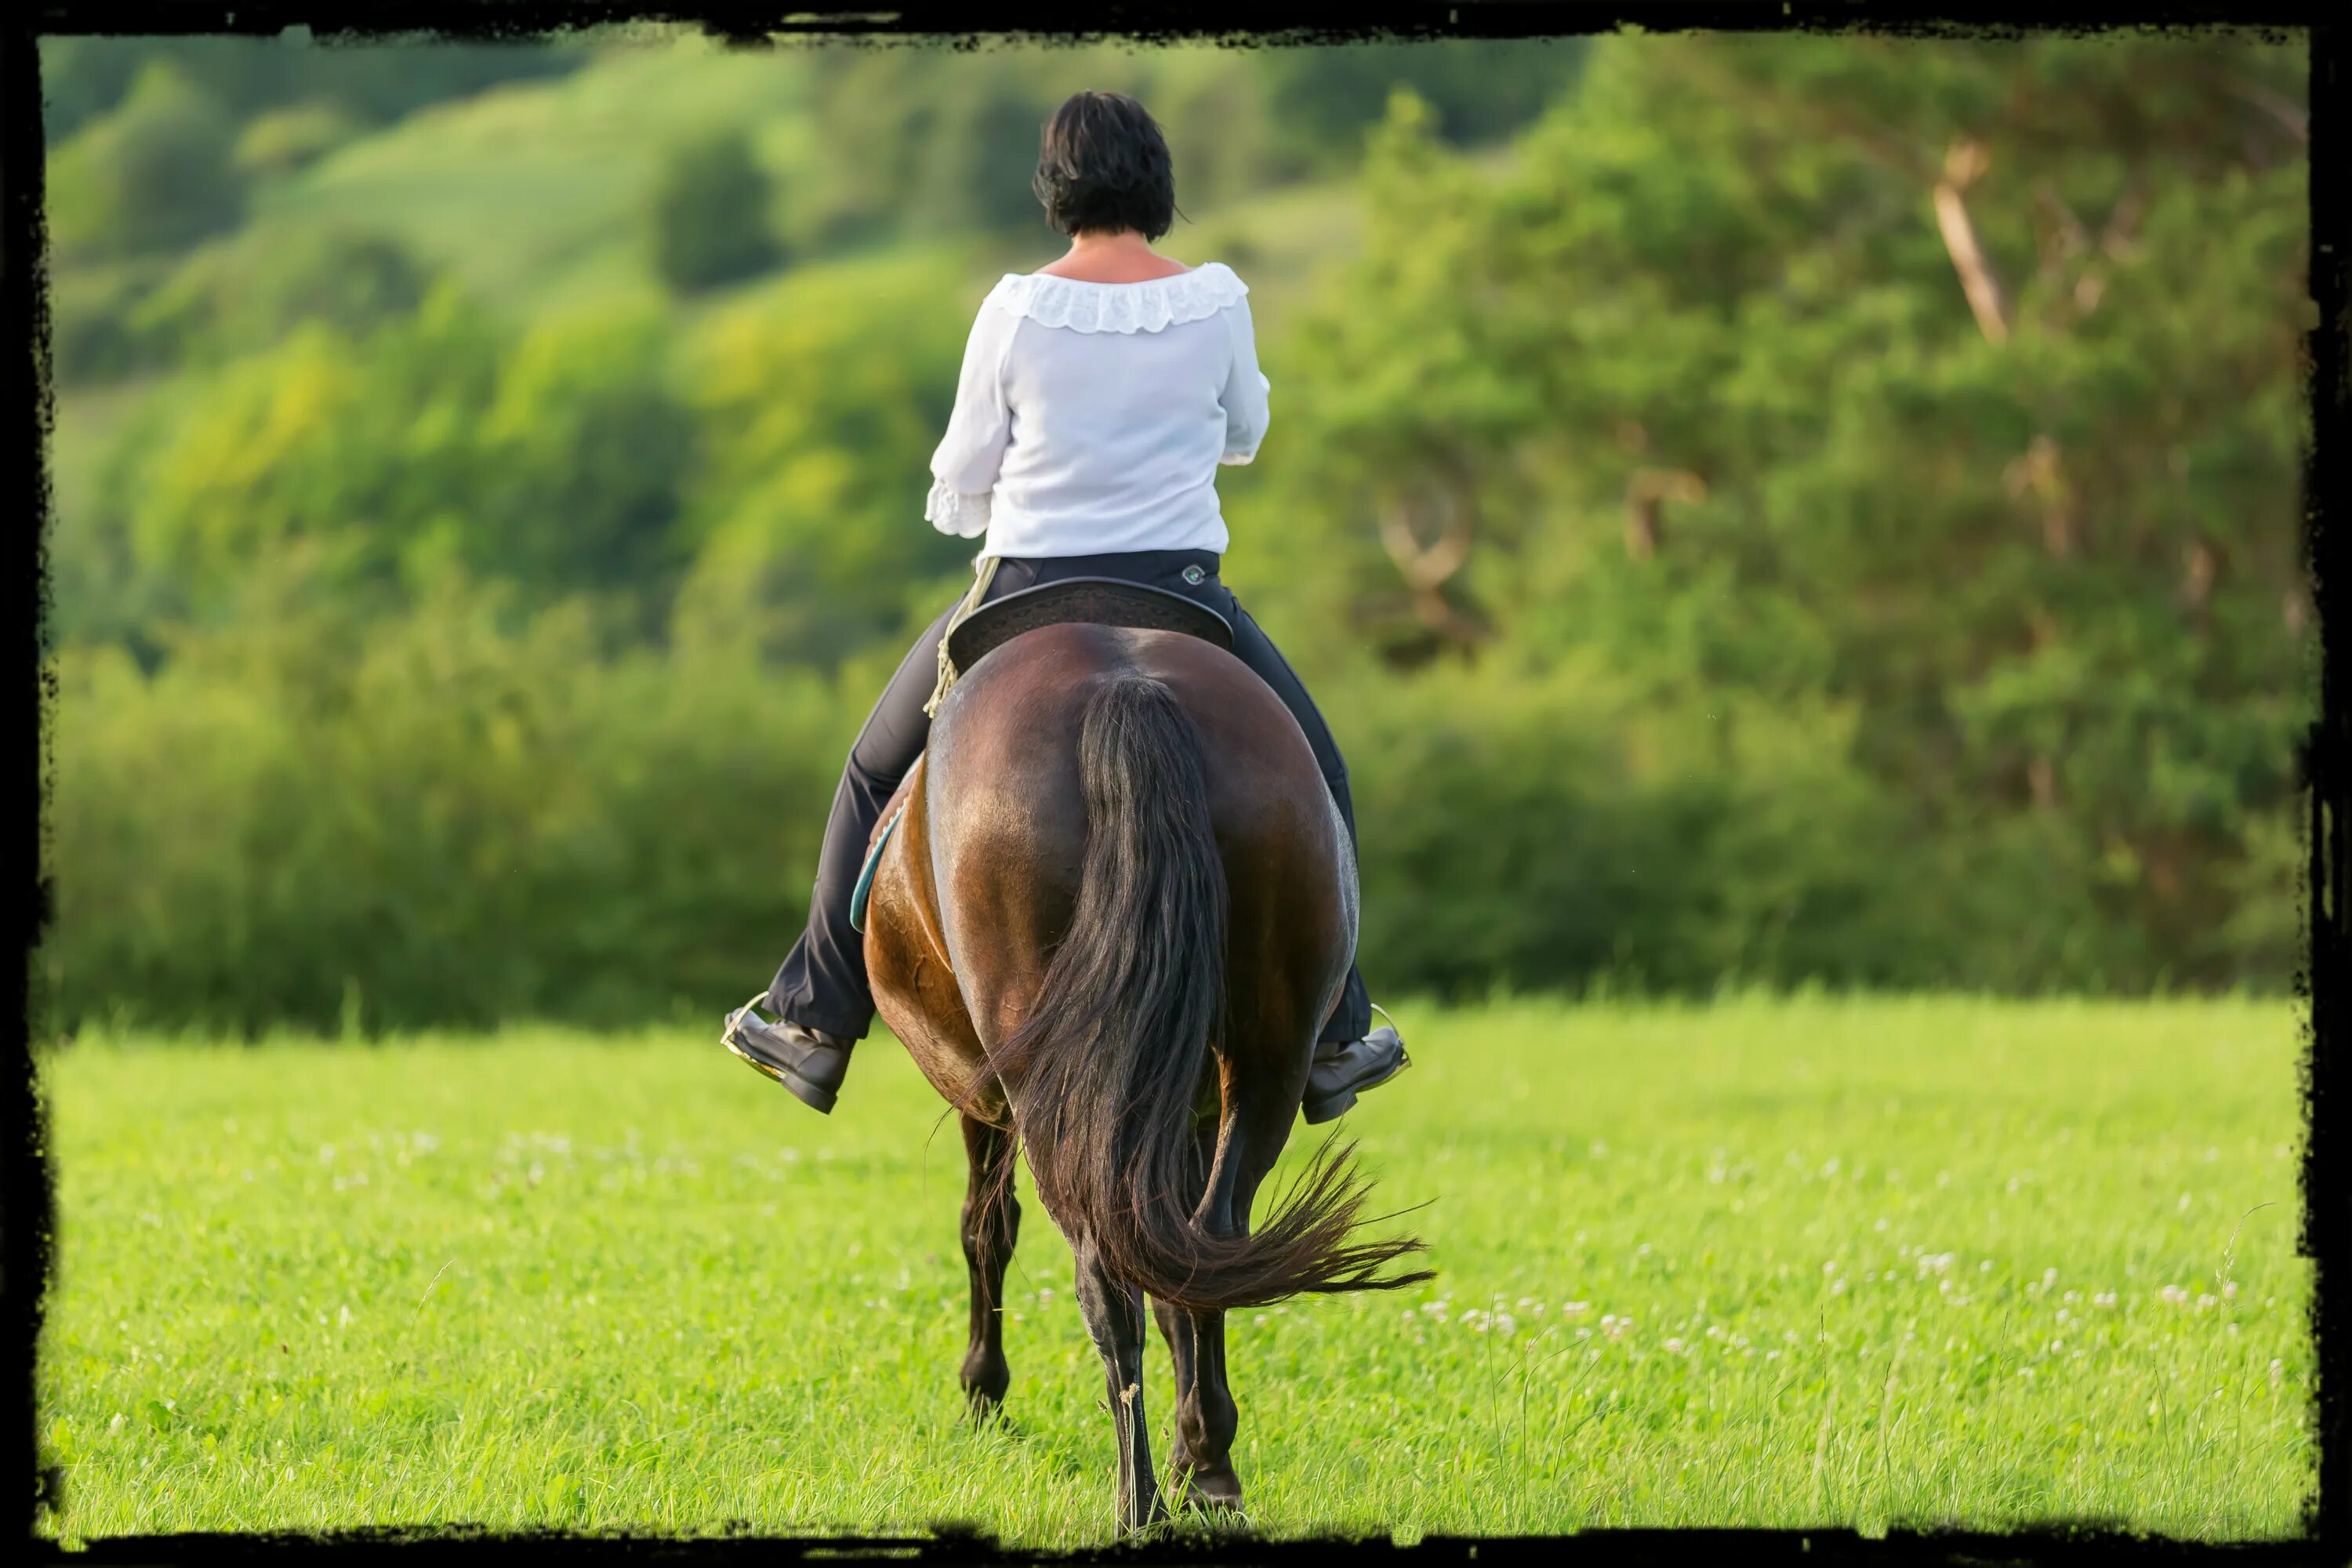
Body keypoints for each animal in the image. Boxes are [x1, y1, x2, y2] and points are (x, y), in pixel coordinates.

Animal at [856, 606, 1421, 1542]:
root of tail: (1126, 691)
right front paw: (1203, 1457)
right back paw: (1208, 1469)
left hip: (1046, 1082)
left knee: (1101, 1271)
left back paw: (1139, 1498)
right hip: (1264, 1060)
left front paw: (983, 1392)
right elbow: (1172, 1262)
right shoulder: (1182, 1104)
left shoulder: (984, 1093)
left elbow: (986, 1228)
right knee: (1207, 1242)